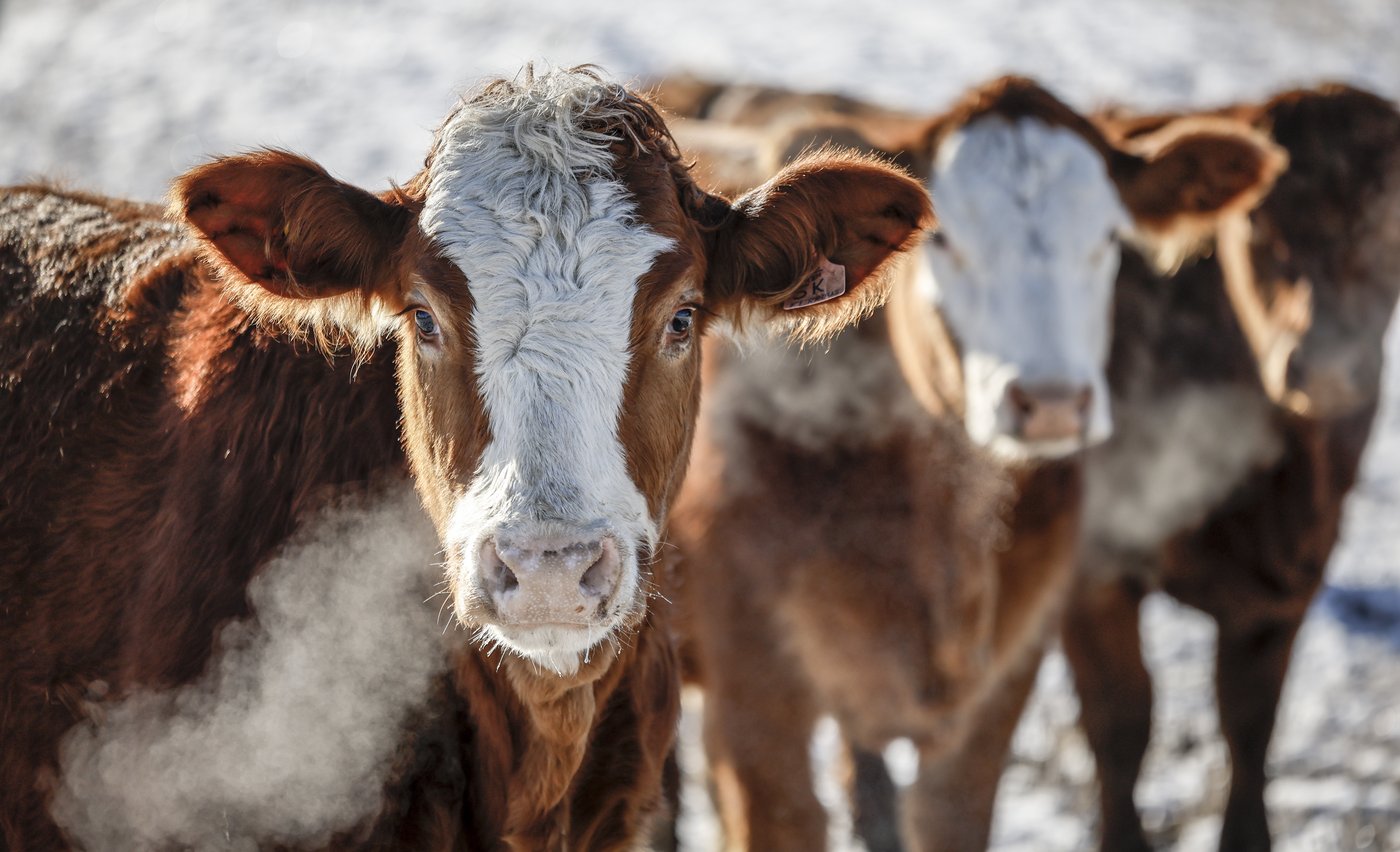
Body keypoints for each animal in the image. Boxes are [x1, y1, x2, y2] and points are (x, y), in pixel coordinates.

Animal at [1058, 84, 1400, 850]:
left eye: (1393, 226)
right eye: (1257, 227)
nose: (1325, 362)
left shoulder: (1289, 582)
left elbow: (1250, 724)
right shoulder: (1093, 569)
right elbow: (1122, 724)